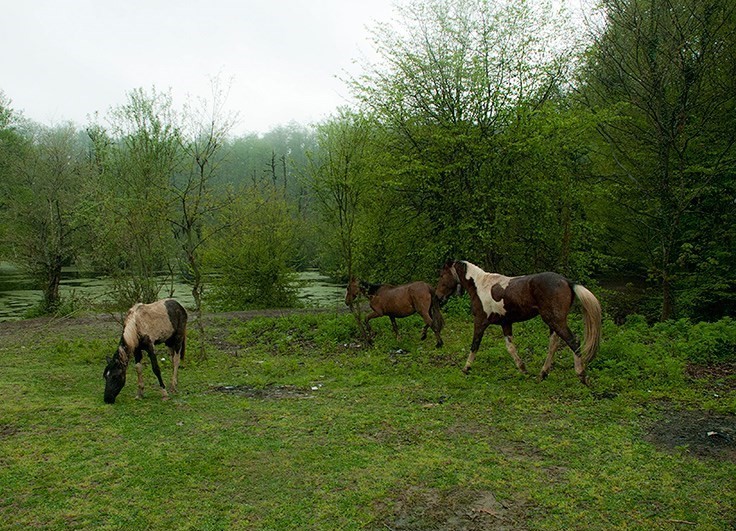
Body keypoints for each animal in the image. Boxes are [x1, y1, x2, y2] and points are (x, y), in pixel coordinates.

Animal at [434, 260, 600, 382]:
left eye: (442, 275)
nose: (437, 296)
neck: (479, 286)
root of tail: (566, 281)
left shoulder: (480, 322)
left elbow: (475, 344)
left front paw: (466, 368)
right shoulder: (506, 323)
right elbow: (510, 347)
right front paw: (523, 369)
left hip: (555, 321)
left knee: (573, 342)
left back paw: (581, 375)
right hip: (553, 322)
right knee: (554, 345)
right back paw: (542, 374)